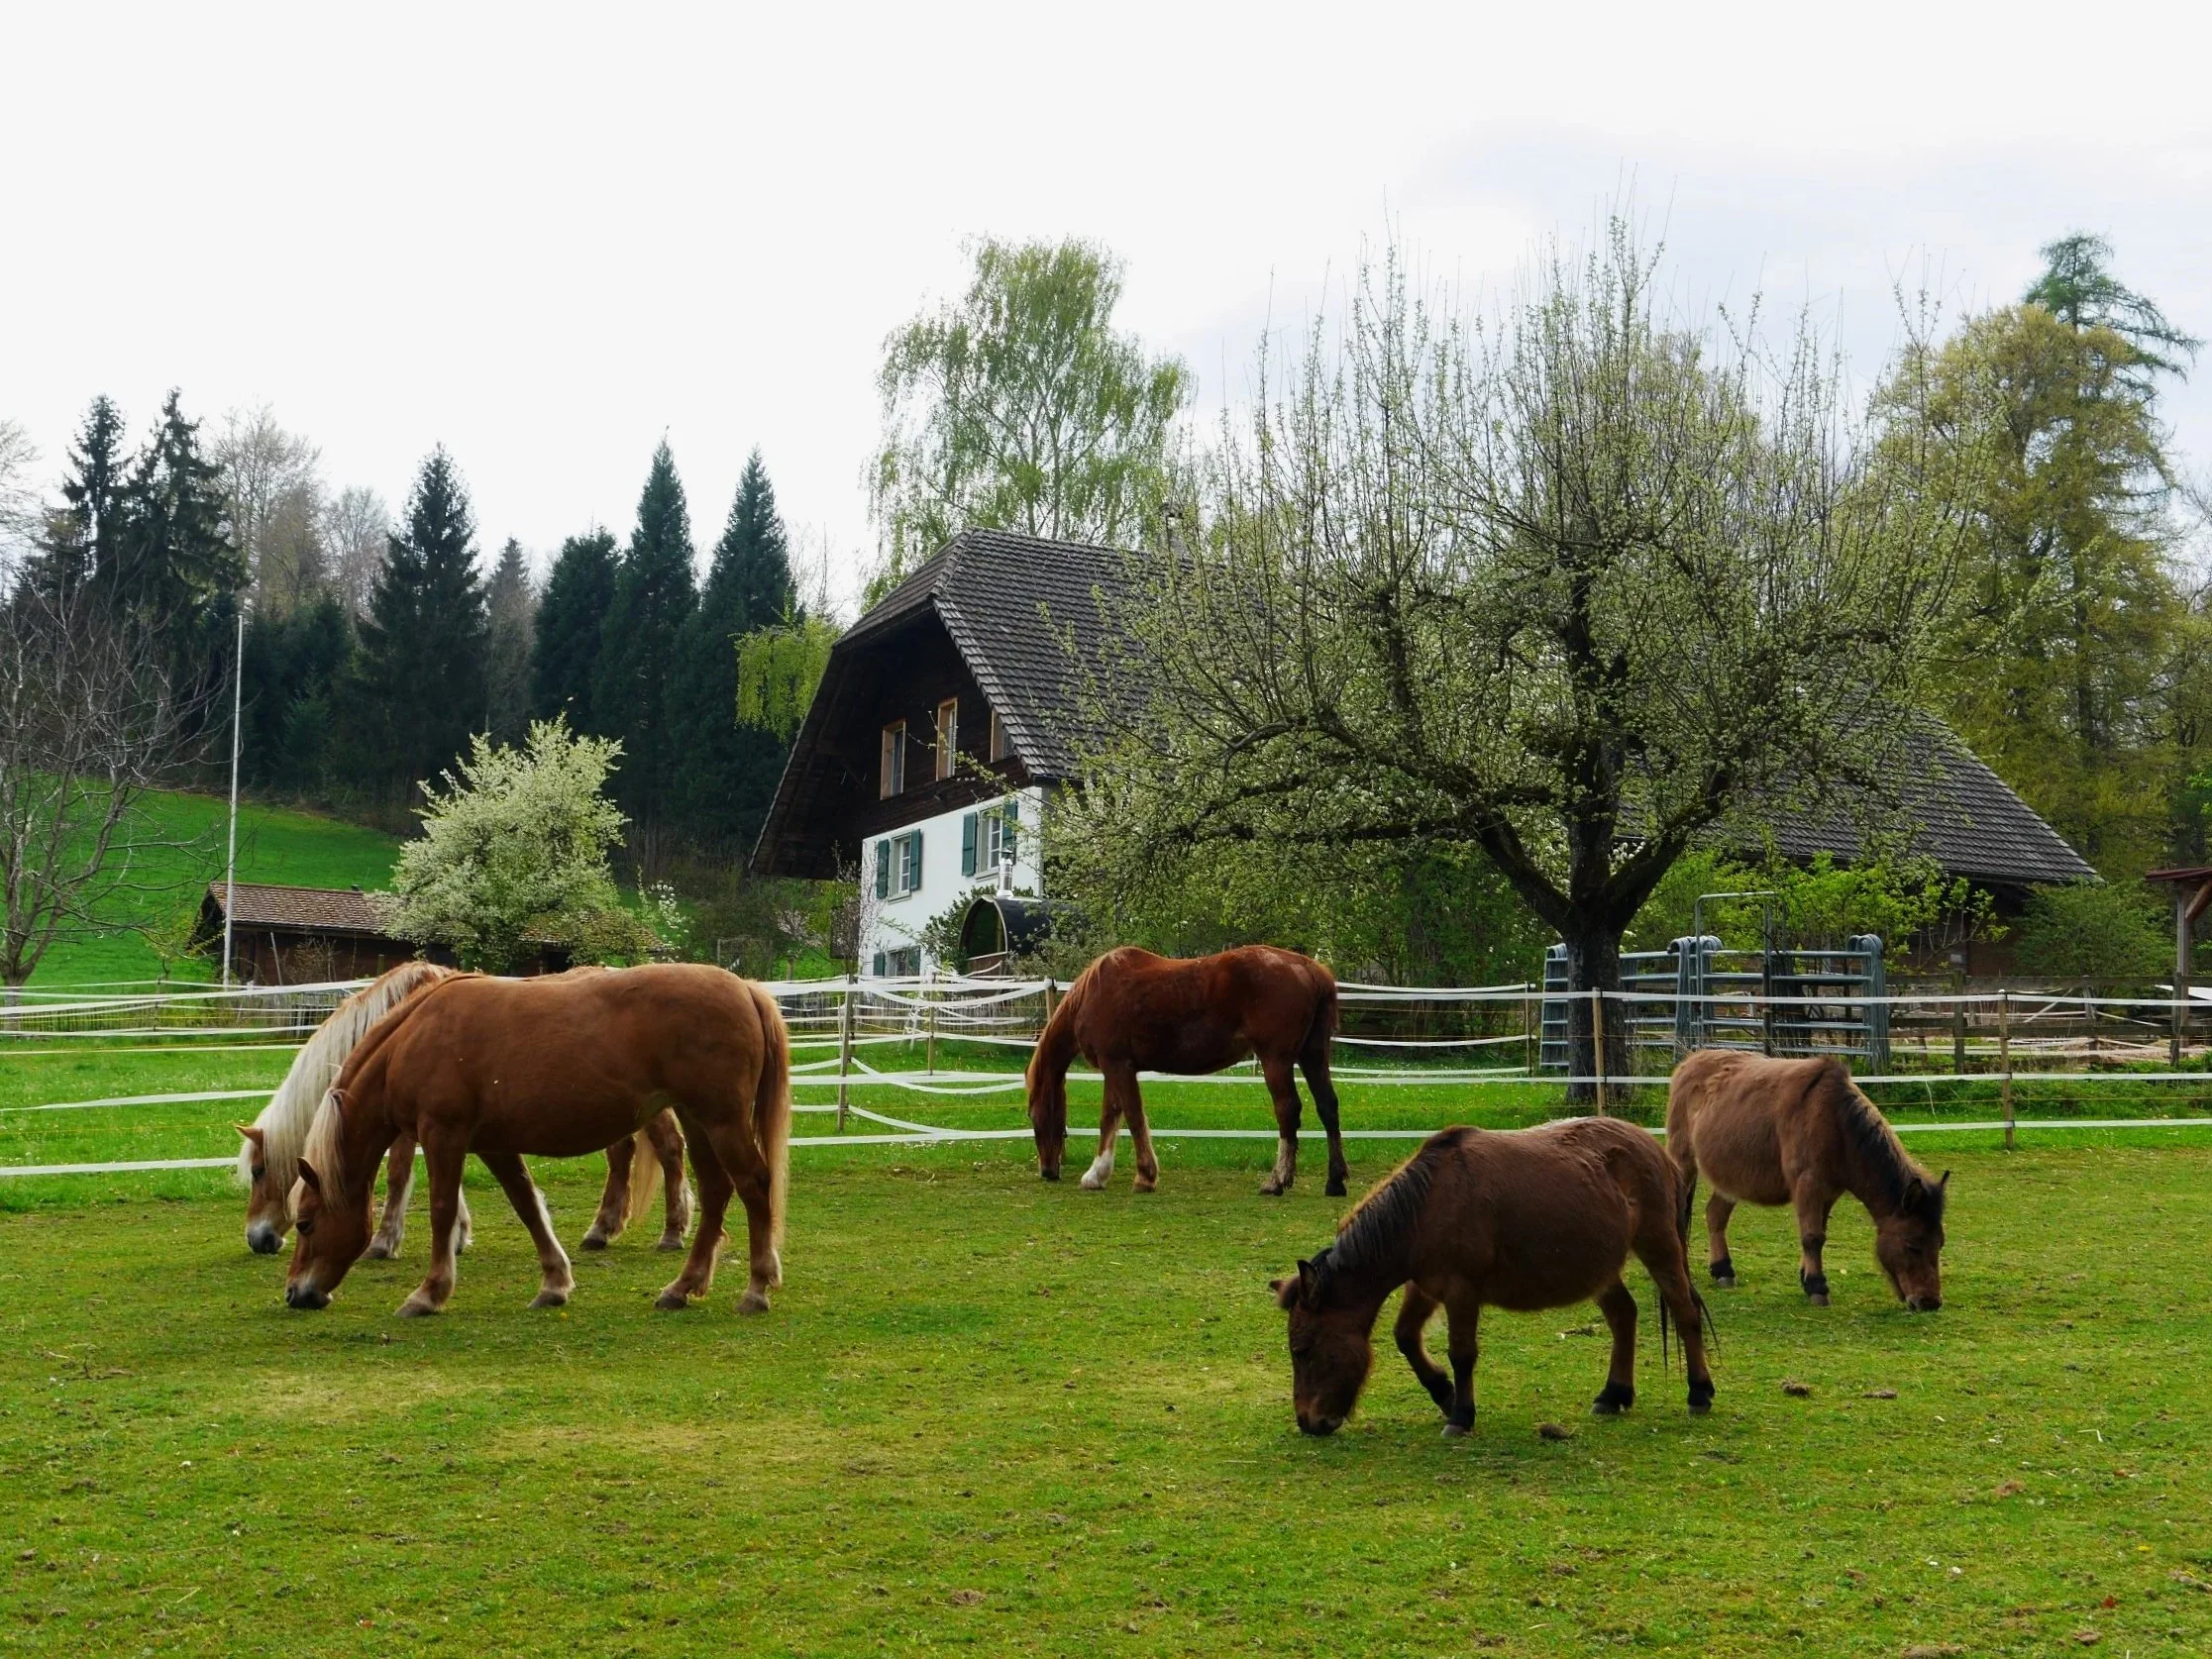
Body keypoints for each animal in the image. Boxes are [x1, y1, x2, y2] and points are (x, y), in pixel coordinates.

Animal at [234, 962, 694, 1259]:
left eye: (258, 1171)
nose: (257, 1239)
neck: (401, 1014)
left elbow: (399, 1174)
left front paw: (385, 1242)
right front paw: (459, 1234)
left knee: (670, 1150)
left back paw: (673, 1233)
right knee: (623, 1155)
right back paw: (602, 1230)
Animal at [285, 964, 790, 1319]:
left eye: (305, 1223)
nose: (295, 1293)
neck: (415, 1037)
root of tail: (747, 989)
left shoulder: (443, 1135)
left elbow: (442, 1212)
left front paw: (429, 1294)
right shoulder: (493, 1145)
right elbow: (527, 1204)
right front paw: (554, 1284)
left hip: (720, 1120)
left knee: (753, 1185)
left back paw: (756, 1289)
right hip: (697, 1119)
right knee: (715, 1190)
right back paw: (682, 1287)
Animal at [1026, 945, 1345, 1195]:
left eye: (1033, 1116)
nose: (1047, 1171)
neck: (1094, 993)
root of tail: (1312, 969)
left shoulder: (1117, 1065)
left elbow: (1132, 1117)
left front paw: (1144, 1176)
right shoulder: (1115, 1069)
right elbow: (1111, 1118)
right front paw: (1098, 1174)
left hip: (1276, 1060)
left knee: (1287, 1110)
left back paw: (1276, 1181)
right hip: (1313, 1056)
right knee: (1328, 1106)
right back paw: (1335, 1181)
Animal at [1271, 1119, 1714, 1437]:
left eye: (1302, 1349)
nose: (1307, 1422)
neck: (1426, 1205)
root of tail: (1657, 1152)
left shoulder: (1460, 1291)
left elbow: (1462, 1353)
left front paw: (1461, 1416)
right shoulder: (1424, 1286)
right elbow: (1405, 1337)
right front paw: (1445, 1394)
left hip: (1659, 1248)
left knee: (1685, 1312)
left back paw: (1699, 1391)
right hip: (1602, 1271)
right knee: (1624, 1316)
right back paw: (1613, 1394)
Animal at [1665, 1049, 1947, 1312]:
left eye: (1940, 1244)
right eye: (1912, 1245)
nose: (1930, 1302)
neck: (1835, 1120)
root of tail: (1689, 1062)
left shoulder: (1829, 1192)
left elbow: (1818, 1231)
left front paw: (1806, 1277)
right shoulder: (1809, 1184)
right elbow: (1813, 1236)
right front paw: (1816, 1286)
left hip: (1729, 1179)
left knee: (1715, 1215)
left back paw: (1722, 1269)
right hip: (1683, 1162)